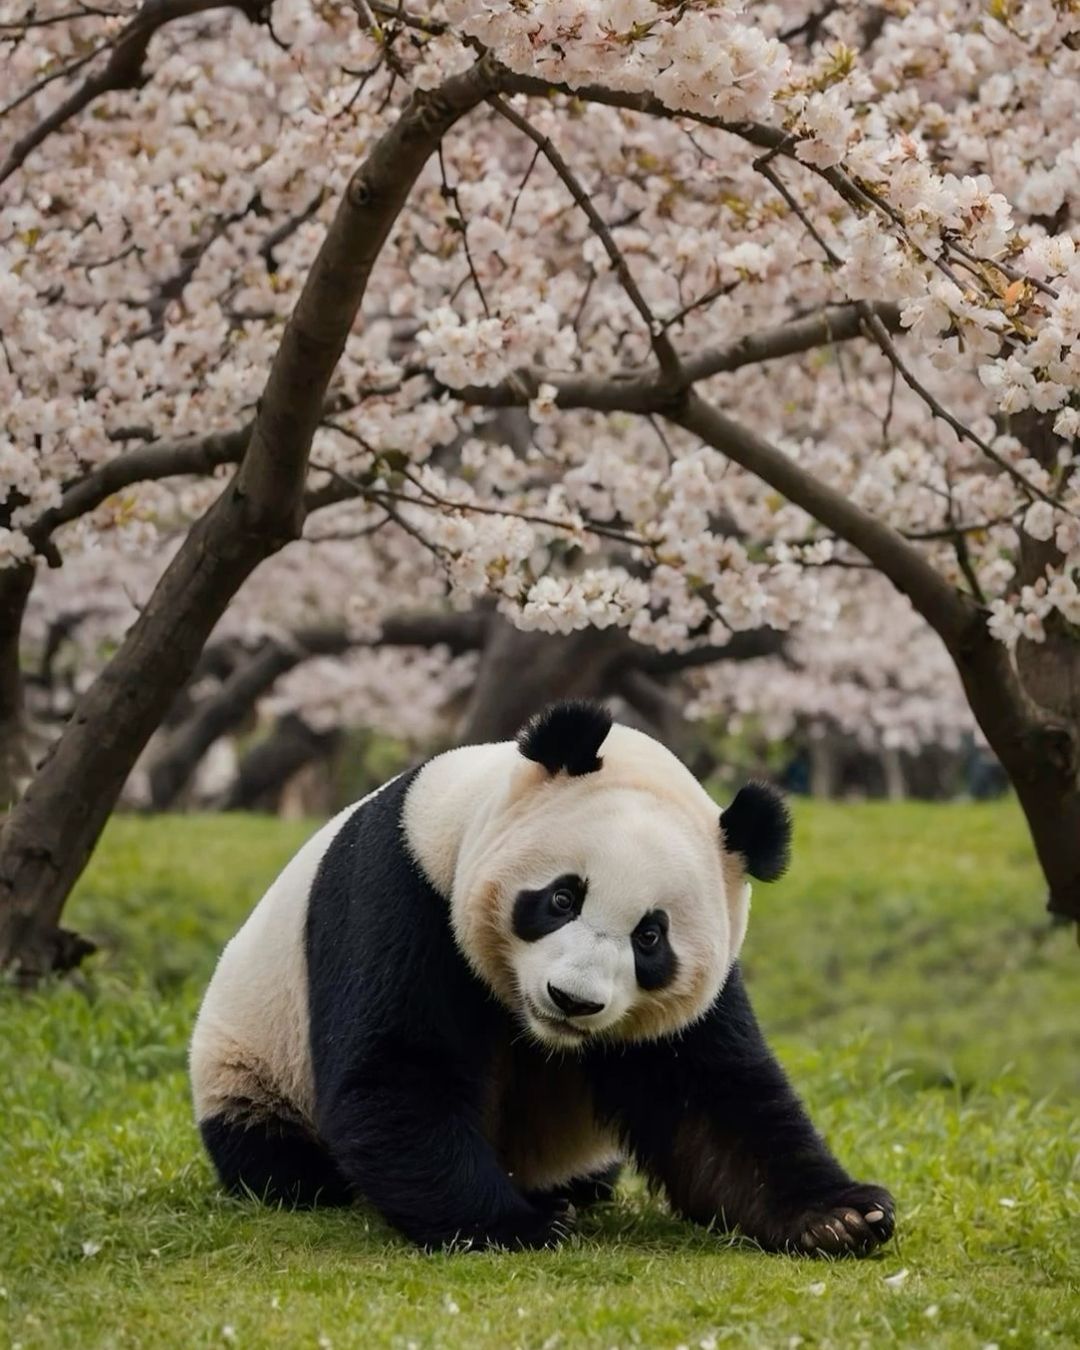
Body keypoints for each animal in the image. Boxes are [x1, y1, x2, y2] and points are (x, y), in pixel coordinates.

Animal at [190, 700, 894, 1255]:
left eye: (650, 937)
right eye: (562, 898)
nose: (572, 1000)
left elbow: (715, 1101)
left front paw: (841, 1218)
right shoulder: (403, 886)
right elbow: (399, 1066)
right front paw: (514, 1226)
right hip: (251, 1063)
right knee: (273, 1145)